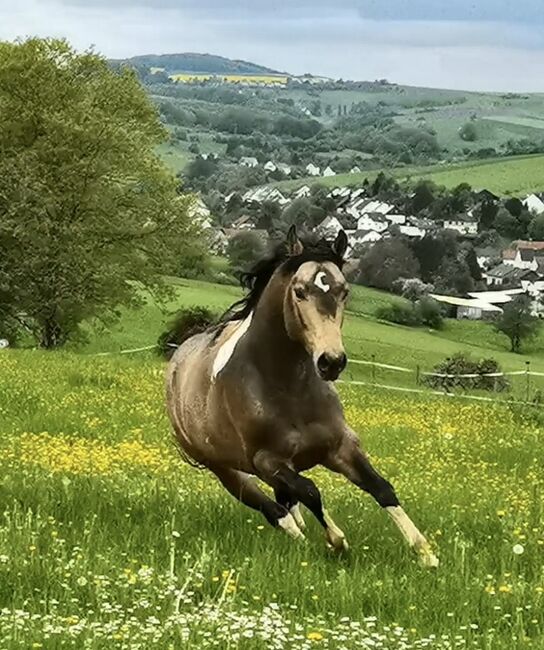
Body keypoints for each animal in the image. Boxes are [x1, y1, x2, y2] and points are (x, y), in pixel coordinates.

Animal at [166, 225, 438, 564]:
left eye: (344, 291)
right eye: (299, 291)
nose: (331, 361)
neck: (288, 388)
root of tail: (178, 357)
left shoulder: (341, 446)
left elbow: (381, 487)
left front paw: (425, 553)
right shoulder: (267, 460)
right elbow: (310, 491)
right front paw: (337, 540)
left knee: (285, 502)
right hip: (223, 467)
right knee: (272, 509)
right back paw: (299, 535)